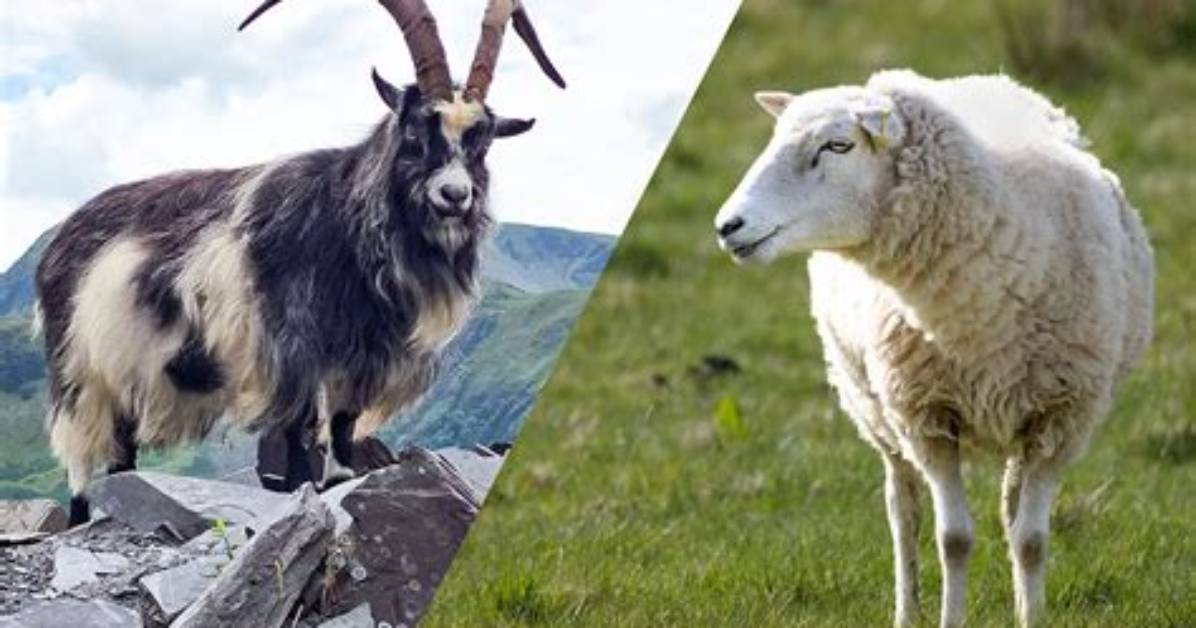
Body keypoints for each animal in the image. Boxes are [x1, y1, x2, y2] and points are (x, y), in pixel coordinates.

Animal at [35, 0, 565, 526]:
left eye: (483, 142)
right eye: (415, 130)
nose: (454, 196)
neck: (344, 224)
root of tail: (62, 238)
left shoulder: (361, 357)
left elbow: (343, 424)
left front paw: (340, 478)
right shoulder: (290, 346)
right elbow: (295, 427)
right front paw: (296, 491)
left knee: (121, 451)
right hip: (80, 371)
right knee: (81, 458)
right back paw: (82, 515)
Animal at [713, 69, 1153, 627]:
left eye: (838, 145)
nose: (728, 226)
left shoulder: (1061, 420)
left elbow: (1032, 541)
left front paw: (1031, 614)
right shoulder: (927, 418)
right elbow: (954, 538)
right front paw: (949, 616)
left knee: (1010, 513)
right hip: (872, 406)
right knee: (903, 511)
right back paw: (906, 609)